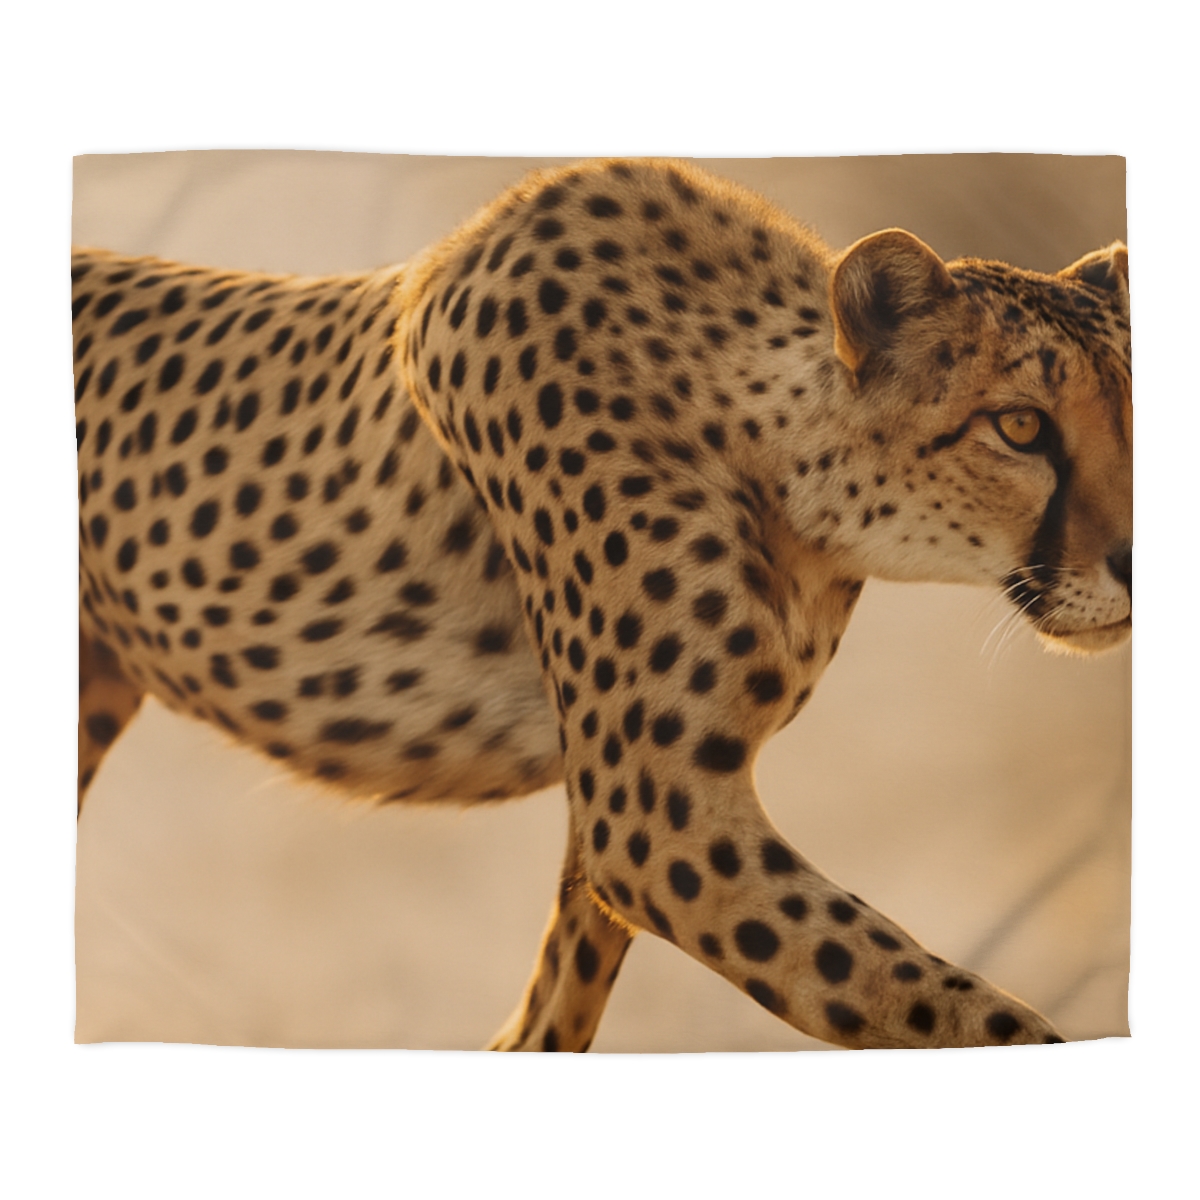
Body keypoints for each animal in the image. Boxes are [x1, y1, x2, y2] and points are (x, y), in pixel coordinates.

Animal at [73, 157, 1131, 1052]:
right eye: (1021, 426)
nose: (1135, 560)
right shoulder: (657, 818)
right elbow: (947, 1007)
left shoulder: (631, 809)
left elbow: (557, 1006)